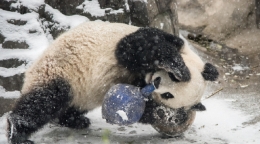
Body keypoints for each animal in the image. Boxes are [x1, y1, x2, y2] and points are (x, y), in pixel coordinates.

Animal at [6, 21, 217, 144]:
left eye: (168, 95)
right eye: (172, 78)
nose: (156, 82)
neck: (143, 76)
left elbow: (140, 109)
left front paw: (165, 114)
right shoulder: (161, 40)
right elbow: (139, 46)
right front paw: (180, 68)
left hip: (82, 93)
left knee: (61, 105)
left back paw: (75, 119)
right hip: (58, 70)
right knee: (43, 101)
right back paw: (18, 132)